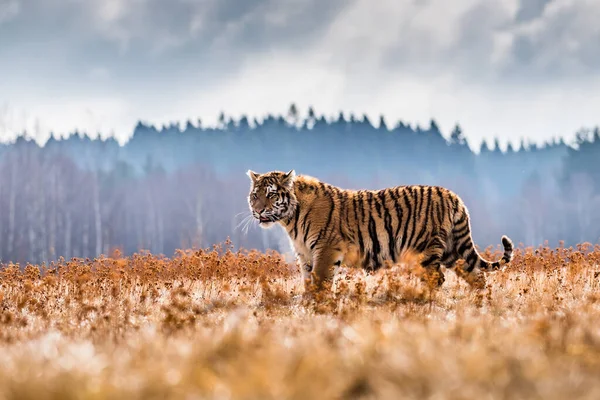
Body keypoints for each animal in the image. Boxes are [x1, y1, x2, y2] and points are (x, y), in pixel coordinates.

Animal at [246, 169, 512, 290]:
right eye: (255, 195)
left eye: (271, 195)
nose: (258, 211)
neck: (290, 219)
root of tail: (453, 196)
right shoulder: (304, 255)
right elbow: (308, 282)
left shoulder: (326, 249)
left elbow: (320, 281)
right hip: (452, 250)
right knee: (476, 276)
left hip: (427, 250)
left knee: (437, 279)